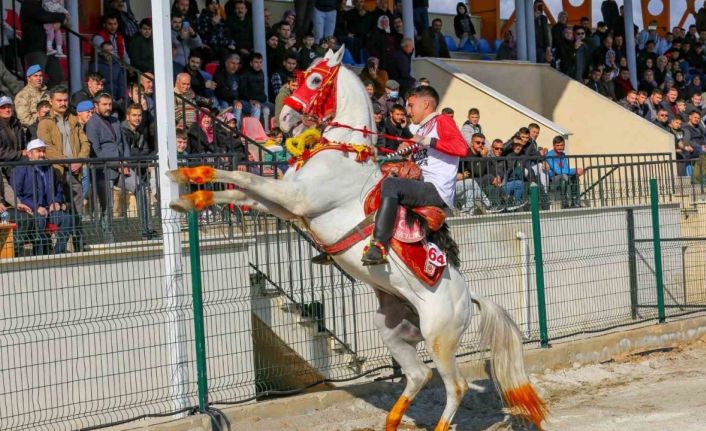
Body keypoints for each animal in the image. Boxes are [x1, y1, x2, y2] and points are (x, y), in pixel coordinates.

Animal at [166, 45, 544, 430]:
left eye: (315, 79)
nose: (284, 118)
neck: (342, 151)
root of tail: (468, 298)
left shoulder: (293, 199)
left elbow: (244, 178)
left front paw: (185, 179)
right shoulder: (285, 203)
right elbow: (239, 188)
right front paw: (186, 192)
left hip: (440, 339)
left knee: (456, 387)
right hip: (392, 329)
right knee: (418, 375)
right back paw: (391, 422)